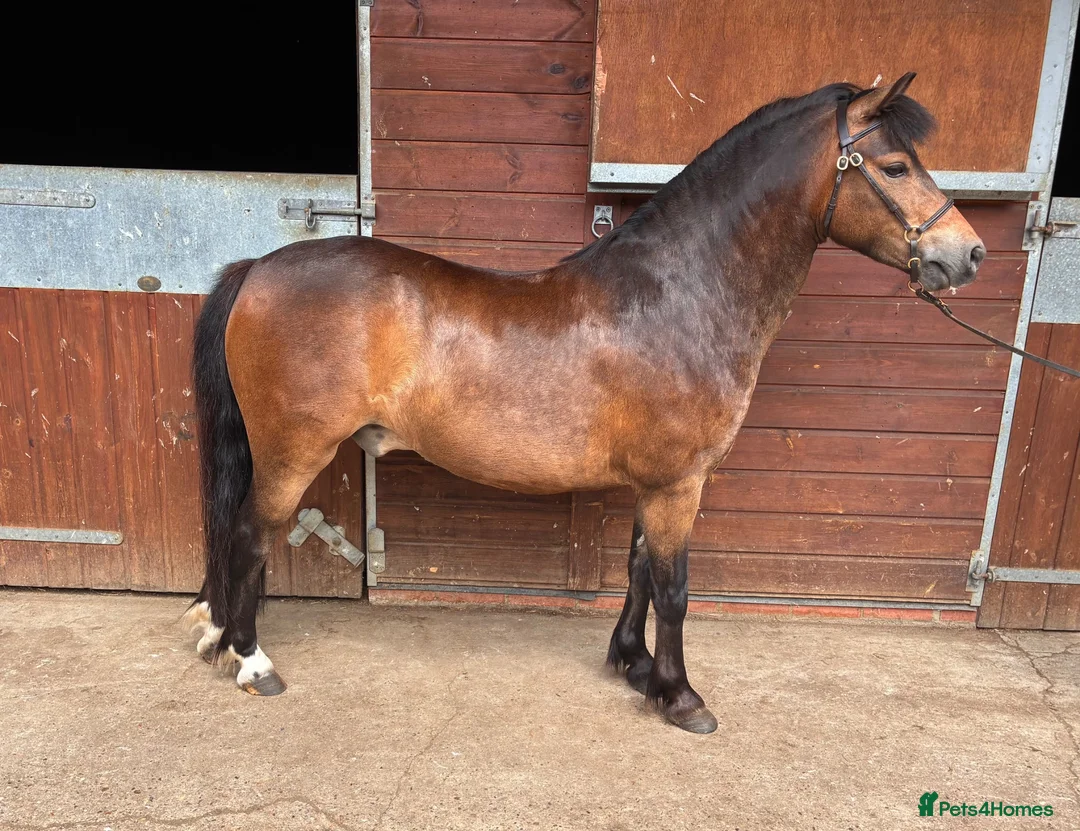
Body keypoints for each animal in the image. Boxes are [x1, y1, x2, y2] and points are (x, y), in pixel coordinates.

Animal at [183, 74, 985, 733]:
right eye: (894, 167)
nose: (969, 254)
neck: (681, 292)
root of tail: (259, 269)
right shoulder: (679, 483)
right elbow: (675, 589)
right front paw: (680, 696)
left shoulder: (656, 482)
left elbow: (637, 570)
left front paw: (634, 664)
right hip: (293, 452)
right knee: (249, 536)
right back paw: (254, 662)